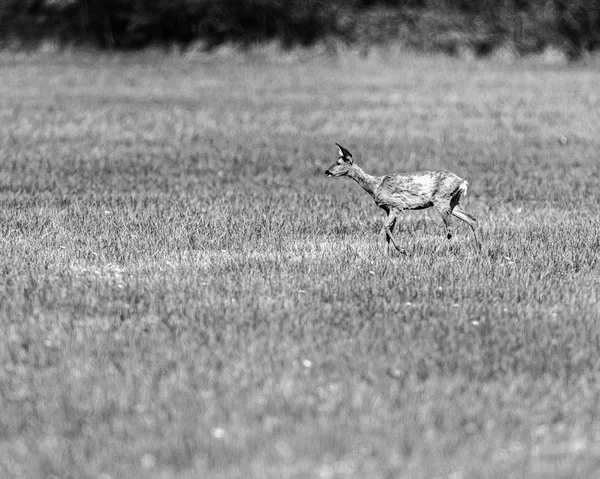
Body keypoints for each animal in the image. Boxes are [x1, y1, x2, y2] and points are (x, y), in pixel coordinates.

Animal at [326, 142, 480, 255]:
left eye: (339, 163)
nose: (327, 171)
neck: (375, 186)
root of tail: (462, 182)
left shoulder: (396, 206)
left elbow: (386, 227)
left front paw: (402, 250)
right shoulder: (388, 209)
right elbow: (389, 230)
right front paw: (386, 255)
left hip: (441, 201)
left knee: (450, 230)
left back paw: (436, 251)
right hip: (453, 202)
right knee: (472, 220)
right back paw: (479, 250)